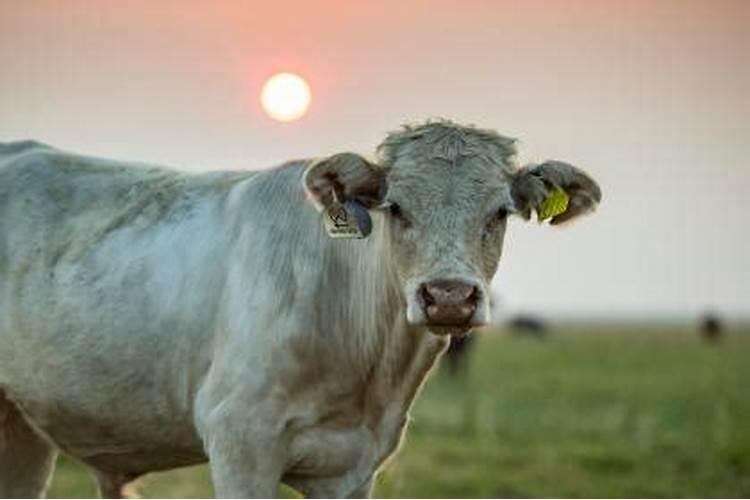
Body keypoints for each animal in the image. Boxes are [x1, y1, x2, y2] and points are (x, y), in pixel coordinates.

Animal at [0, 120, 604, 496]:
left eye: (499, 212)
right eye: (395, 208)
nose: (449, 296)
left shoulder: (355, 467)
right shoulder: (239, 441)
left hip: (24, 428)